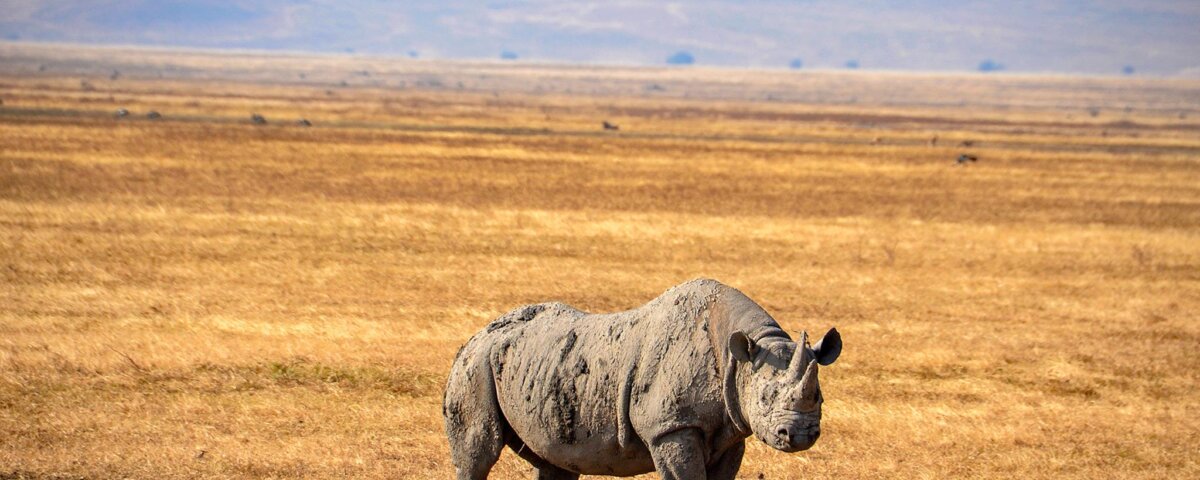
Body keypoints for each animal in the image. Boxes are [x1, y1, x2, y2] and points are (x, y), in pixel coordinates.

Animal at [443, 278, 842, 479]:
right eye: (764, 398)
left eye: (820, 398)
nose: (800, 436)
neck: (741, 354)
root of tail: (475, 335)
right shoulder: (670, 426)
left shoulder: (731, 429)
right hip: (475, 365)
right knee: (478, 453)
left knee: (555, 464)